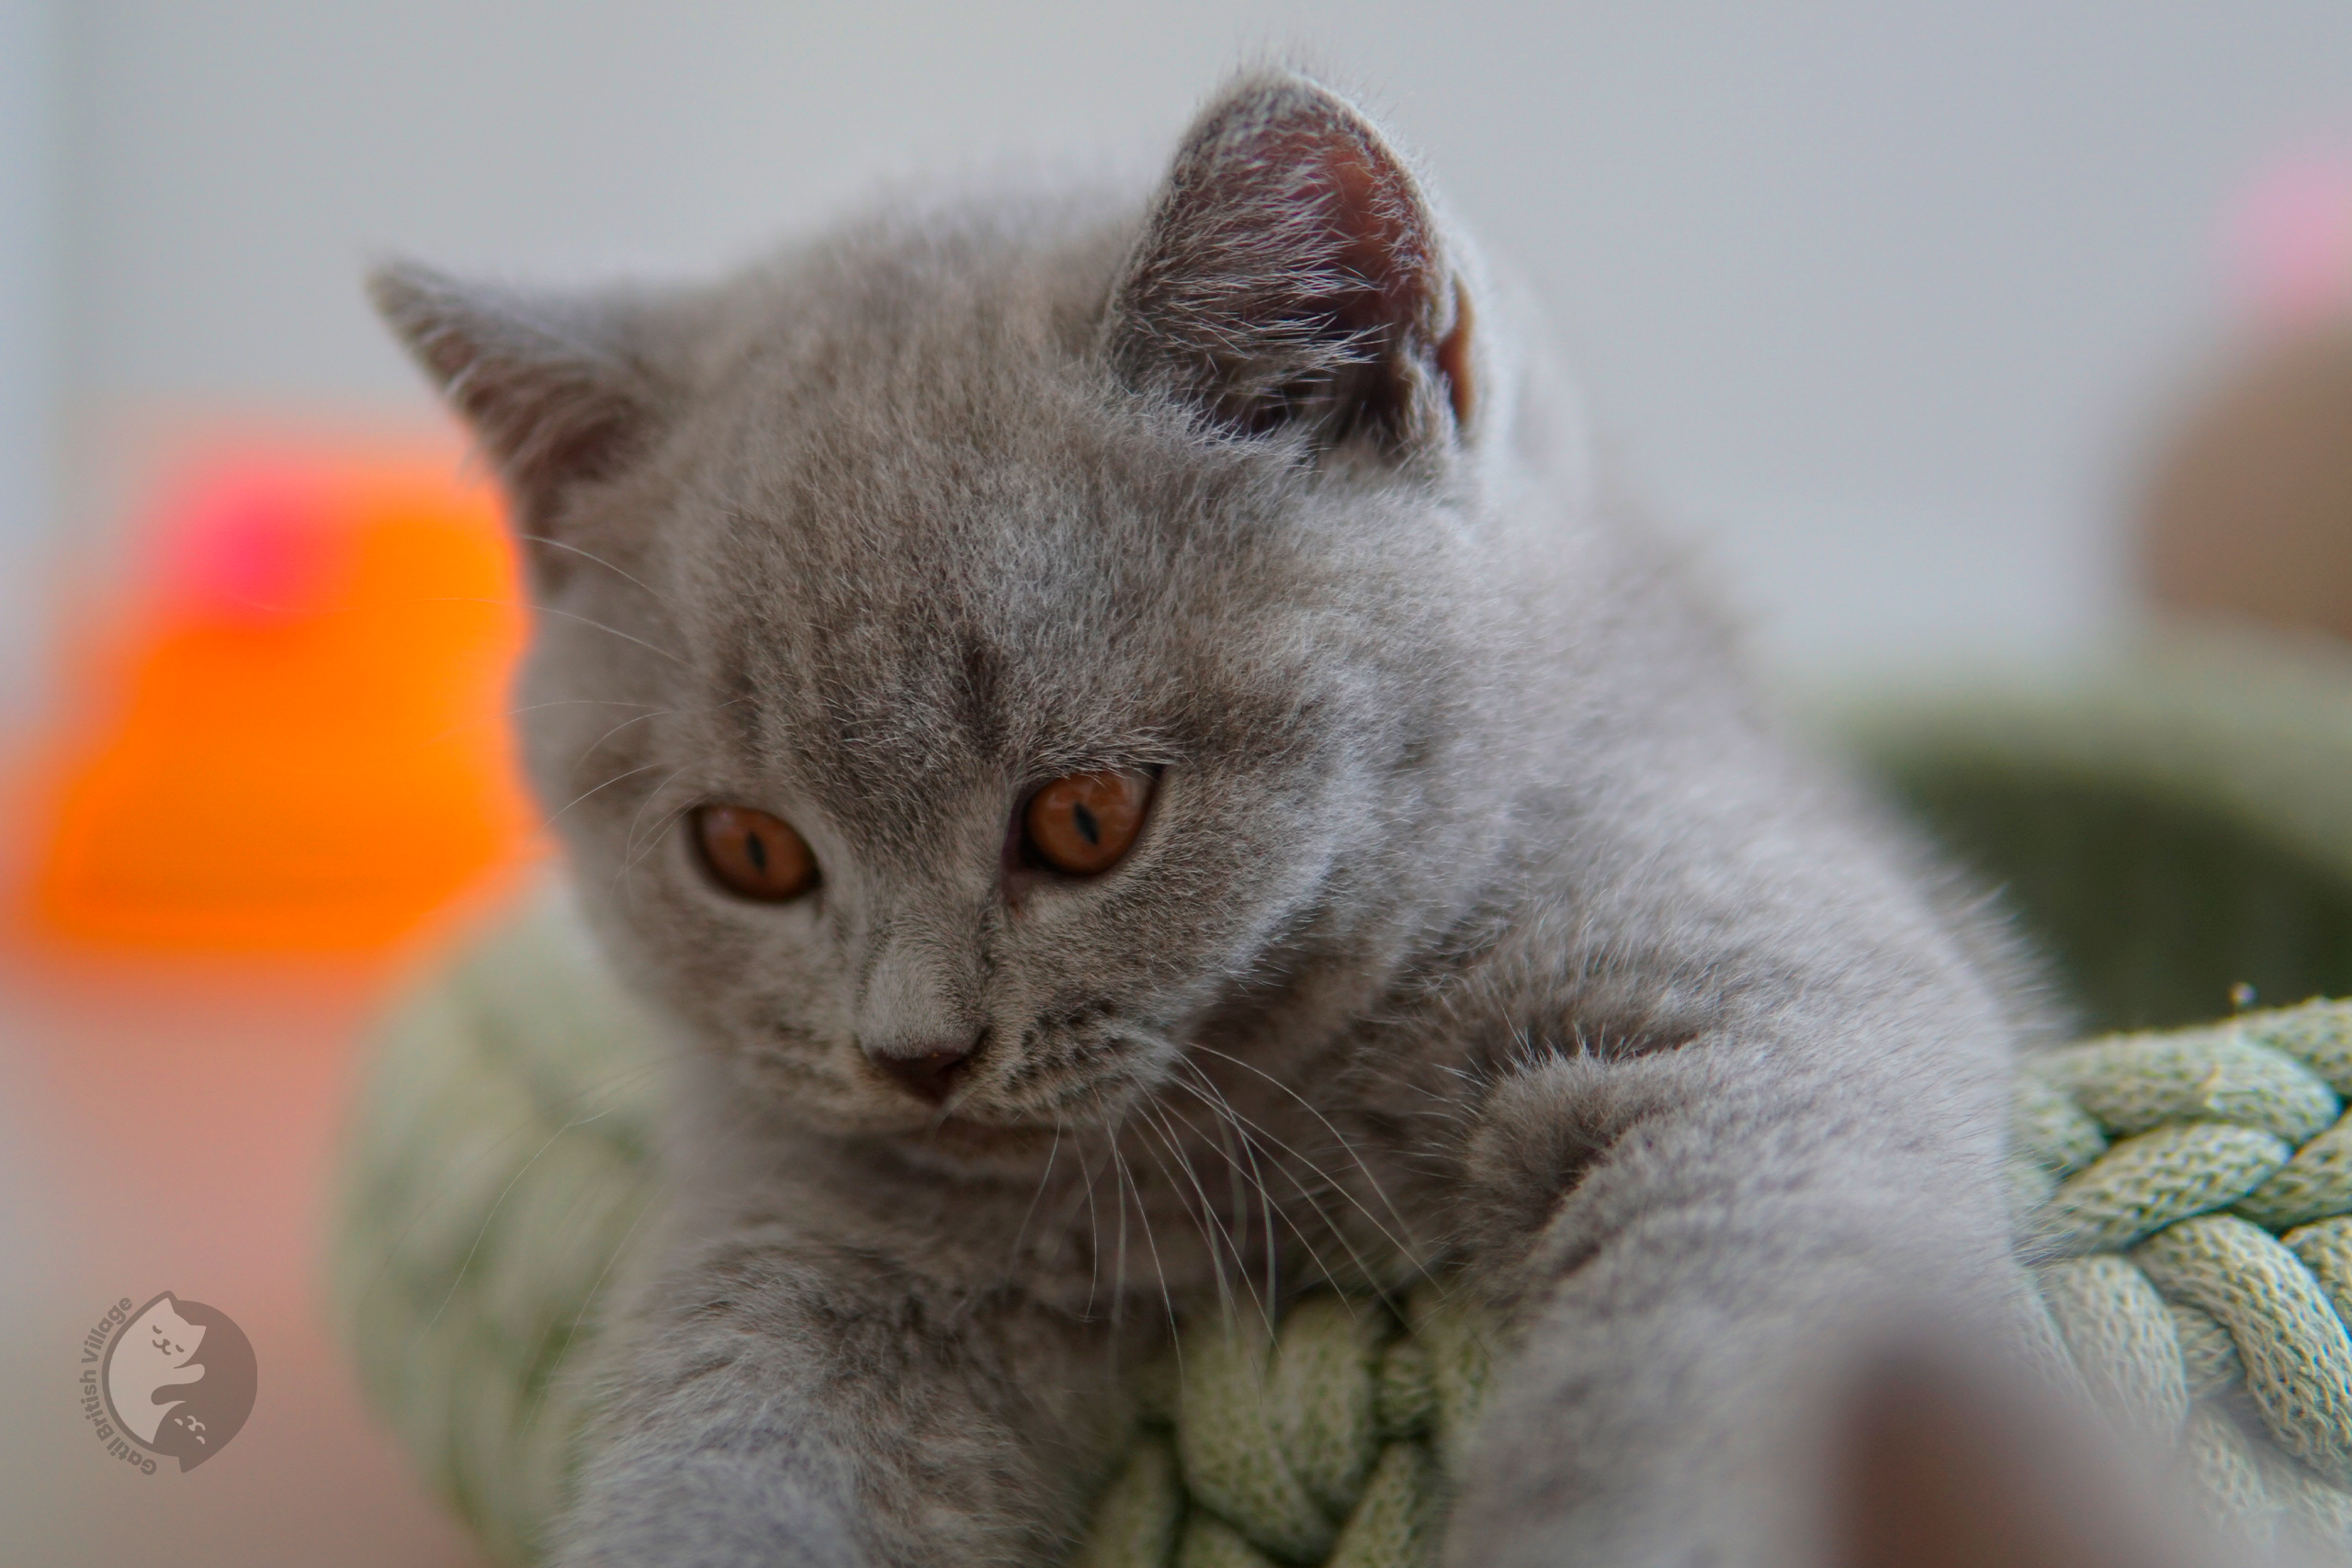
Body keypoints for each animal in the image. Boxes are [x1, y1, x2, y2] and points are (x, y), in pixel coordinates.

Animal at [376, 64, 2051, 1568]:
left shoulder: (1745, 1002)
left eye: (1087, 815)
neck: (1252, 1132)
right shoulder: (812, 1232)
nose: (916, 1053)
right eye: (750, 852)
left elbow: (1702, 1345)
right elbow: (730, 1458)